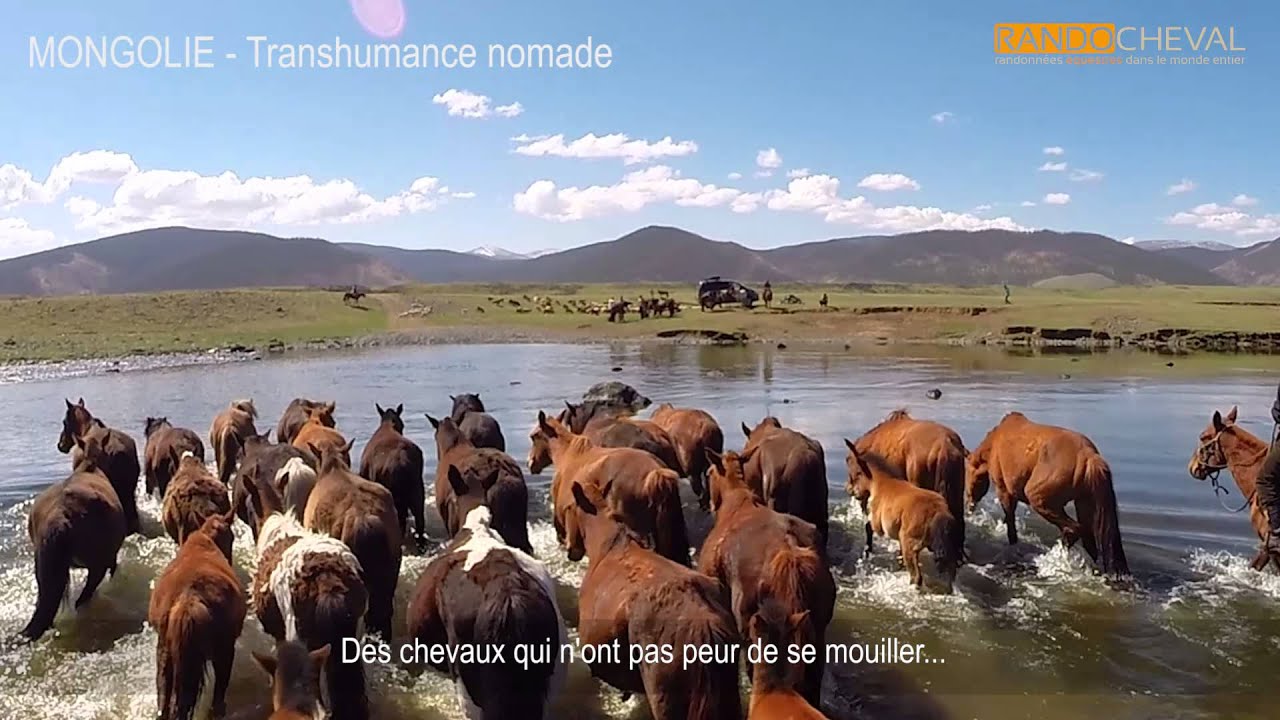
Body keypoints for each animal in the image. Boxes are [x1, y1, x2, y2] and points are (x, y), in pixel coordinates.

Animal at [20, 434, 127, 641]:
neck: (89, 466)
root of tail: (61, 516)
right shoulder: (109, 558)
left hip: (45, 568)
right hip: (96, 565)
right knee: (83, 597)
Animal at [148, 510, 245, 720]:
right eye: (231, 537)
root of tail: (189, 598)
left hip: (166, 651)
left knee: (164, 697)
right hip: (223, 649)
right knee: (217, 695)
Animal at [697, 450, 834, 705]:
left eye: (709, 473)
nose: (707, 503)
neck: (736, 503)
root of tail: (789, 549)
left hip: (753, 631)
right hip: (817, 631)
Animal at [846, 441, 964, 593]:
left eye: (855, 474)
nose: (849, 490)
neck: (883, 481)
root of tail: (938, 512)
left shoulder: (879, 525)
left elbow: (869, 527)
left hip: (911, 546)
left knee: (917, 577)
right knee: (950, 573)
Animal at [967, 411, 1129, 577]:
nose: (969, 507)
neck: (993, 443)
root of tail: (1088, 456)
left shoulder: (1004, 492)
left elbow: (1011, 526)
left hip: (1040, 500)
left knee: (1072, 530)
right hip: (1083, 505)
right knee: (1089, 543)